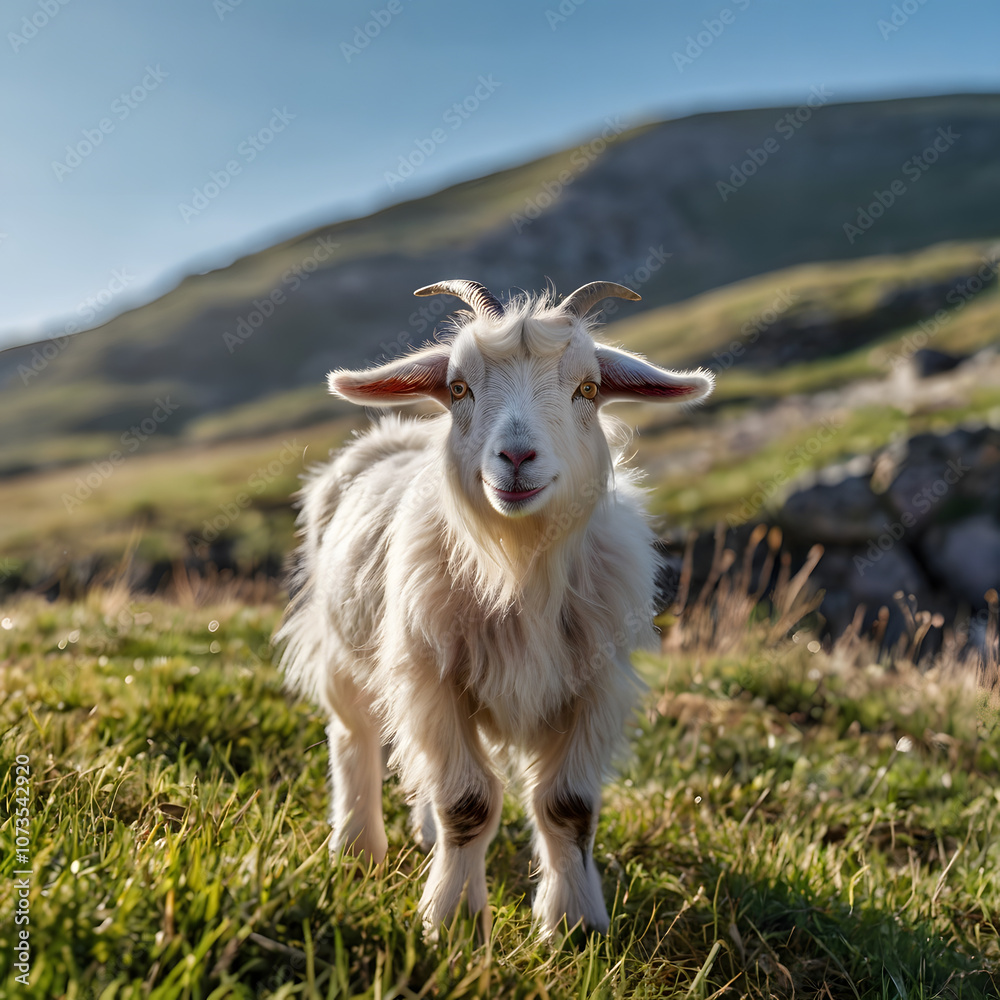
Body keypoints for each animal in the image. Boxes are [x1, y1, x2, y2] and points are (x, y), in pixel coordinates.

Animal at [277, 280, 713, 938]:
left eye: (588, 389)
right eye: (459, 388)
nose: (516, 457)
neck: (518, 565)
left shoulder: (595, 688)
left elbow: (568, 808)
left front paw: (575, 926)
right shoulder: (431, 679)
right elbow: (468, 803)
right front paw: (454, 919)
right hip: (342, 652)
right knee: (354, 737)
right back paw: (356, 849)